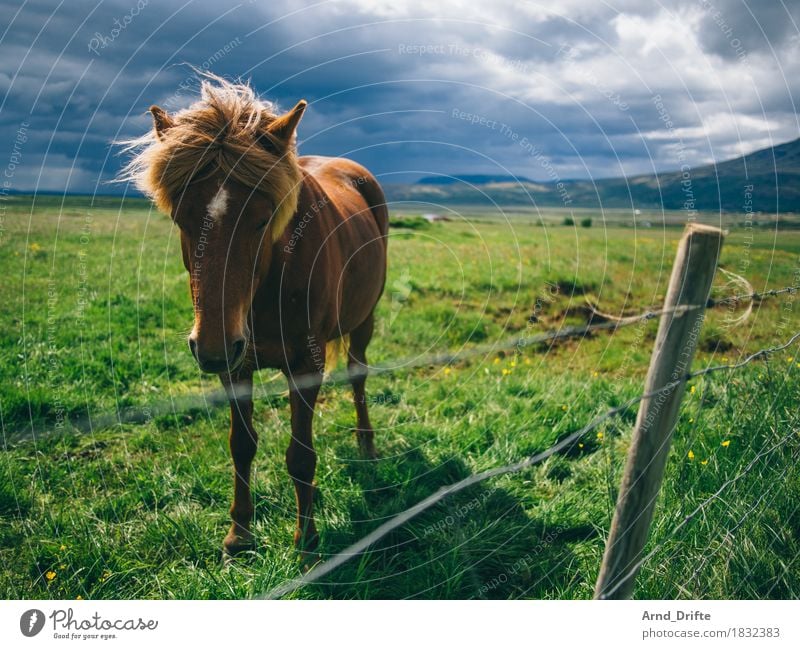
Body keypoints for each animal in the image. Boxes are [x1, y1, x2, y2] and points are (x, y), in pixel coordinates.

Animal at [120, 73, 390, 556]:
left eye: (263, 220)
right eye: (181, 219)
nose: (210, 347)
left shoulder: (306, 365)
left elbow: (300, 454)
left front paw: (306, 539)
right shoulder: (235, 365)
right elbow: (241, 445)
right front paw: (239, 533)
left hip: (364, 321)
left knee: (358, 375)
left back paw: (366, 446)